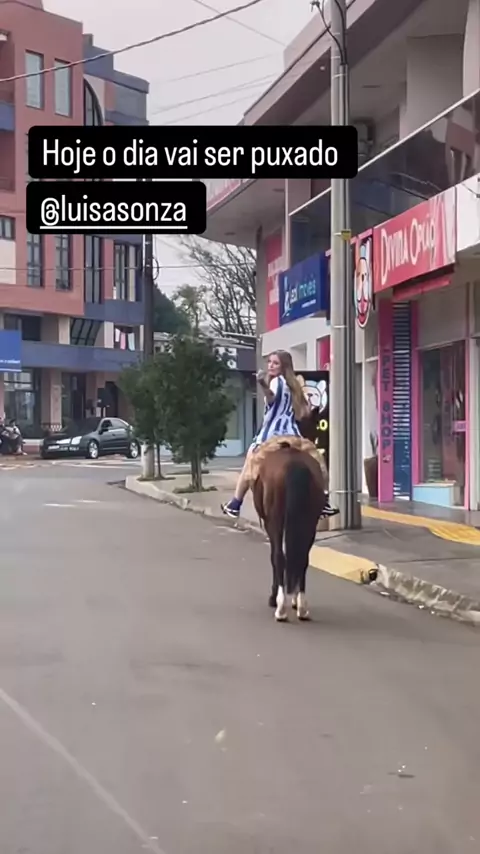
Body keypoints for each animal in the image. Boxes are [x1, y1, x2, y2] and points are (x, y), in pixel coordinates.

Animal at [252, 441, 327, 622]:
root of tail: (295, 465)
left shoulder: (270, 525)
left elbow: (276, 557)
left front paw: (274, 598)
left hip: (275, 522)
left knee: (279, 557)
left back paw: (280, 608)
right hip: (309, 524)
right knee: (303, 558)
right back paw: (302, 606)